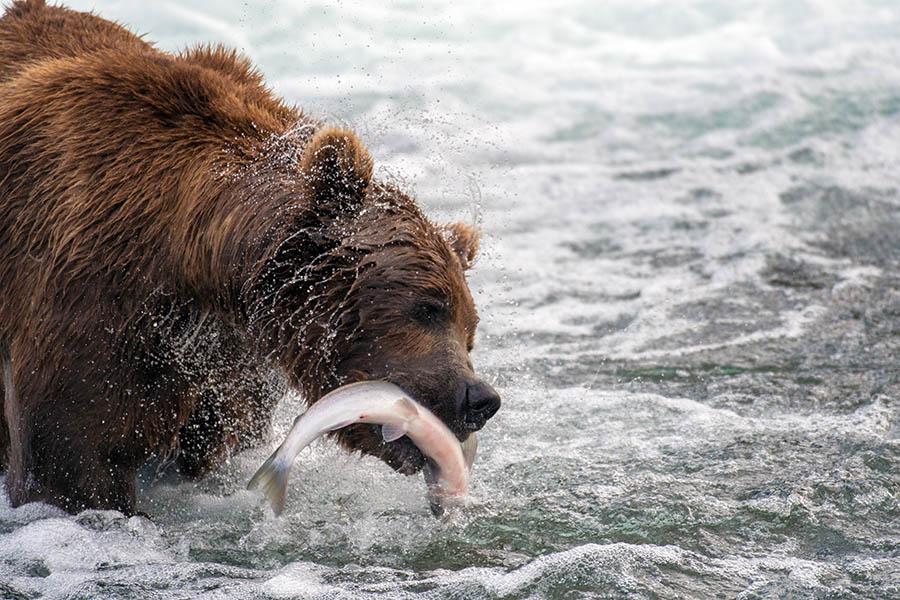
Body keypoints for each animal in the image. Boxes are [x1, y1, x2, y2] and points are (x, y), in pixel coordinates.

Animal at [0, 0, 500, 514]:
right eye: (427, 307)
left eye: (470, 331)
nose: (479, 398)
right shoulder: (92, 295)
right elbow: (72, 457)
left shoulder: (228, 365)